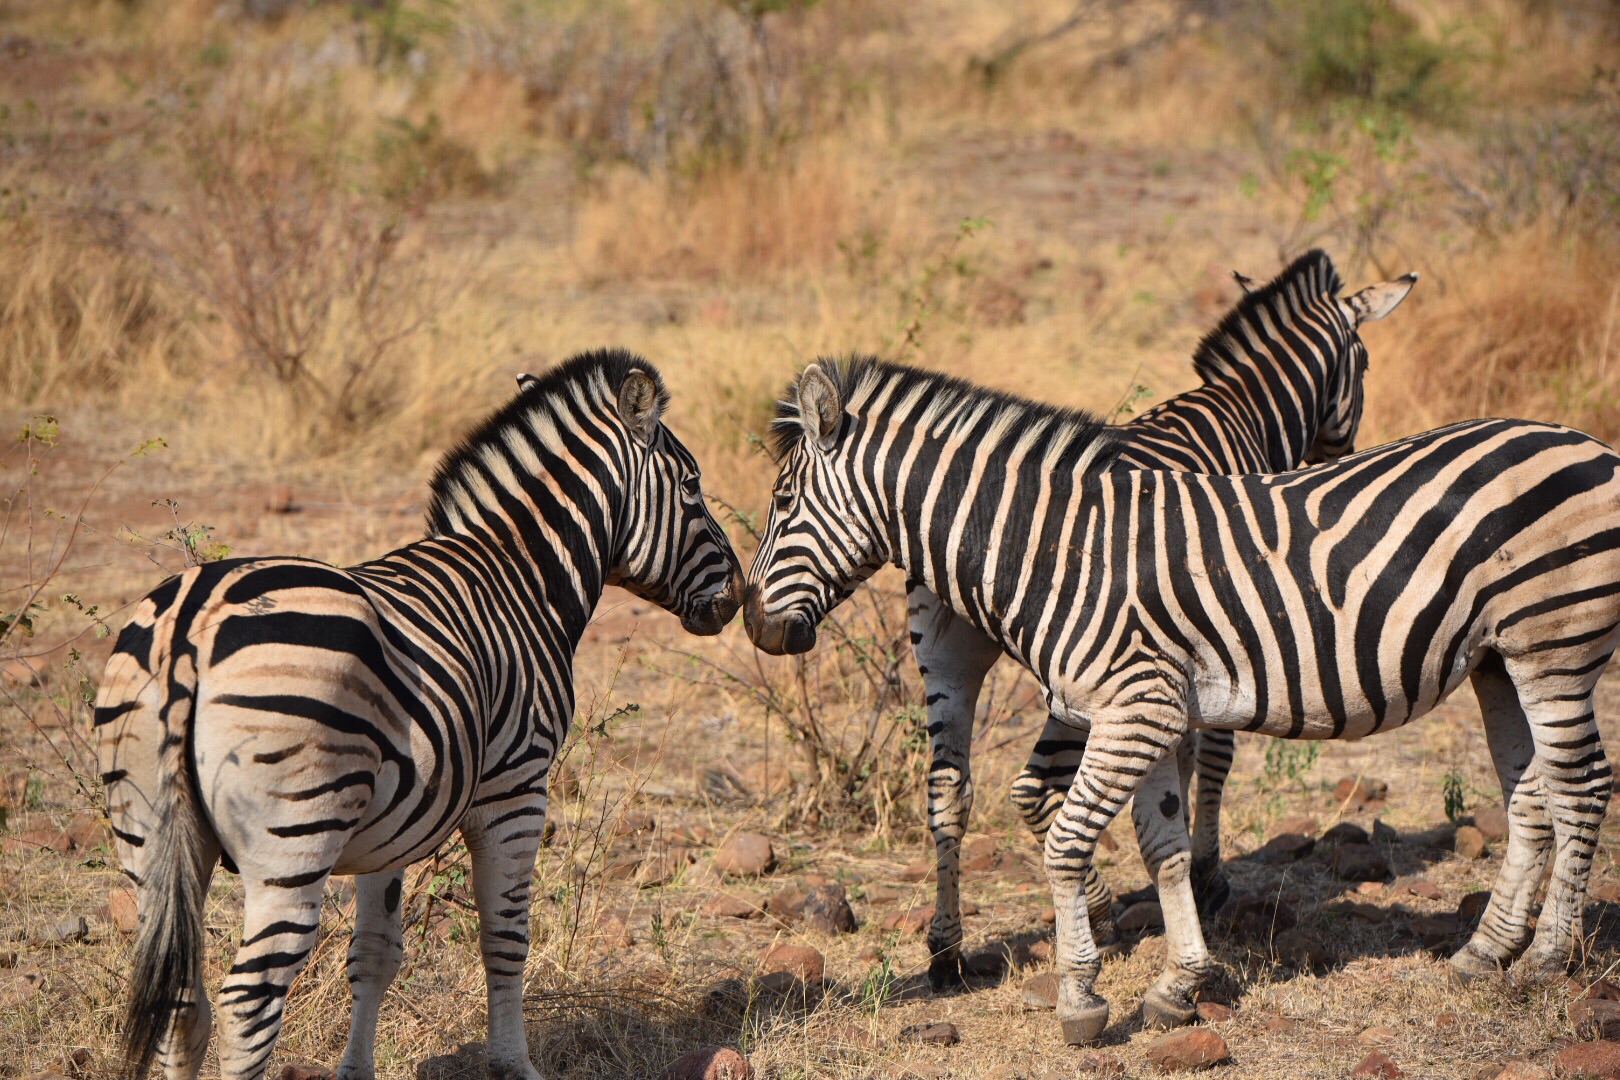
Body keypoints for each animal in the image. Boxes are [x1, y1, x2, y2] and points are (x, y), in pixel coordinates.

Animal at [94, 351, 741, 1075]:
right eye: (692, 486)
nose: (736, 596)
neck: (521, 577)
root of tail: (187, 624)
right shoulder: (517, 789)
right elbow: (506, 938)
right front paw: (513, 1064)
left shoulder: (392, 824)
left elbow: (374, 955)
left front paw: (356, 1071)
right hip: (294, 838)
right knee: (247, 1001)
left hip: (148, 834)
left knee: (182, 1000)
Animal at [745, 361, 1620, 1049]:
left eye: (783, 507)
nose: (754, 625)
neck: (1059, 551)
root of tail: (1589, 444)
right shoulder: (1152, 714)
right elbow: (1162, 846)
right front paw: (1180, 983)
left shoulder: (1135, 711)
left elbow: (1066, 844)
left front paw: (1082, 998)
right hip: (1498, 661)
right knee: (1530, 795)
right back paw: (1484, 953)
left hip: (1555, 644)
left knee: (1578, 791)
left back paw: (1543, 963)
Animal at [907, 250, 1412, 990]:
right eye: (1367, 364)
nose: (1335, 457)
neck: (1243, 412)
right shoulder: (1224, 633)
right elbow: (1215, 754)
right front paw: (1206, 875)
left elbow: (1181, 754)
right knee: (1032, 785)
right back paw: (1086, 905)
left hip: (948, 660)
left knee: (954, 790)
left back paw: (949, 949)